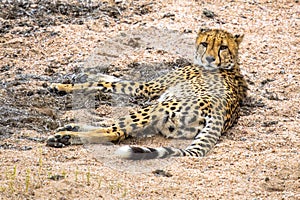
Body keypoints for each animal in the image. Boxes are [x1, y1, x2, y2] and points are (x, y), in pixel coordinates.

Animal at [47, 27, 248, 159]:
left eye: (223, 47)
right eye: (205, 44)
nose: (210, 59)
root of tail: (220, 114)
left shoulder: (146, 88)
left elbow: (104, 82)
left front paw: (60, 86)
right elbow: (113, 79)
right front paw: (83, 75)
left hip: (156, 108)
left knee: (115, 132)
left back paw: (66, 136)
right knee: (117, 127)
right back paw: (71, 128)